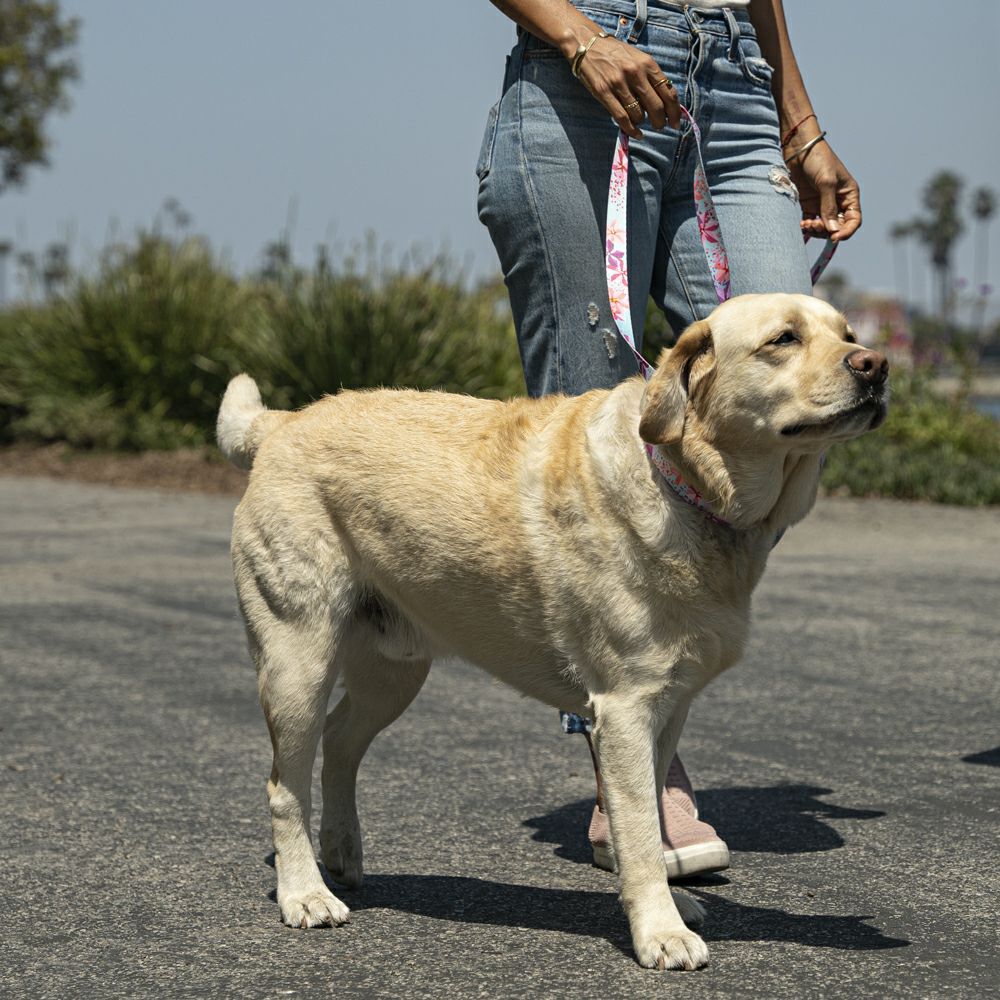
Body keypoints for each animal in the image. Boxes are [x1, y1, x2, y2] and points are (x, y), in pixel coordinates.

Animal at [219, 294, 892, 968]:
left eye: (847, 333)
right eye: (783, 339)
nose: (876, 365)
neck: (684, 485)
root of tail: (281, 423)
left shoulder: (669, 709)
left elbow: (652, 812)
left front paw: (673, 902)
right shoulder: (625, 710)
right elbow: (639, 830)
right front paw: (662, 931)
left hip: (394, 673)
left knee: (338, 743)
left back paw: (341, 855)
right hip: (298, 661)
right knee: (284, 784)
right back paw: (305, 893)